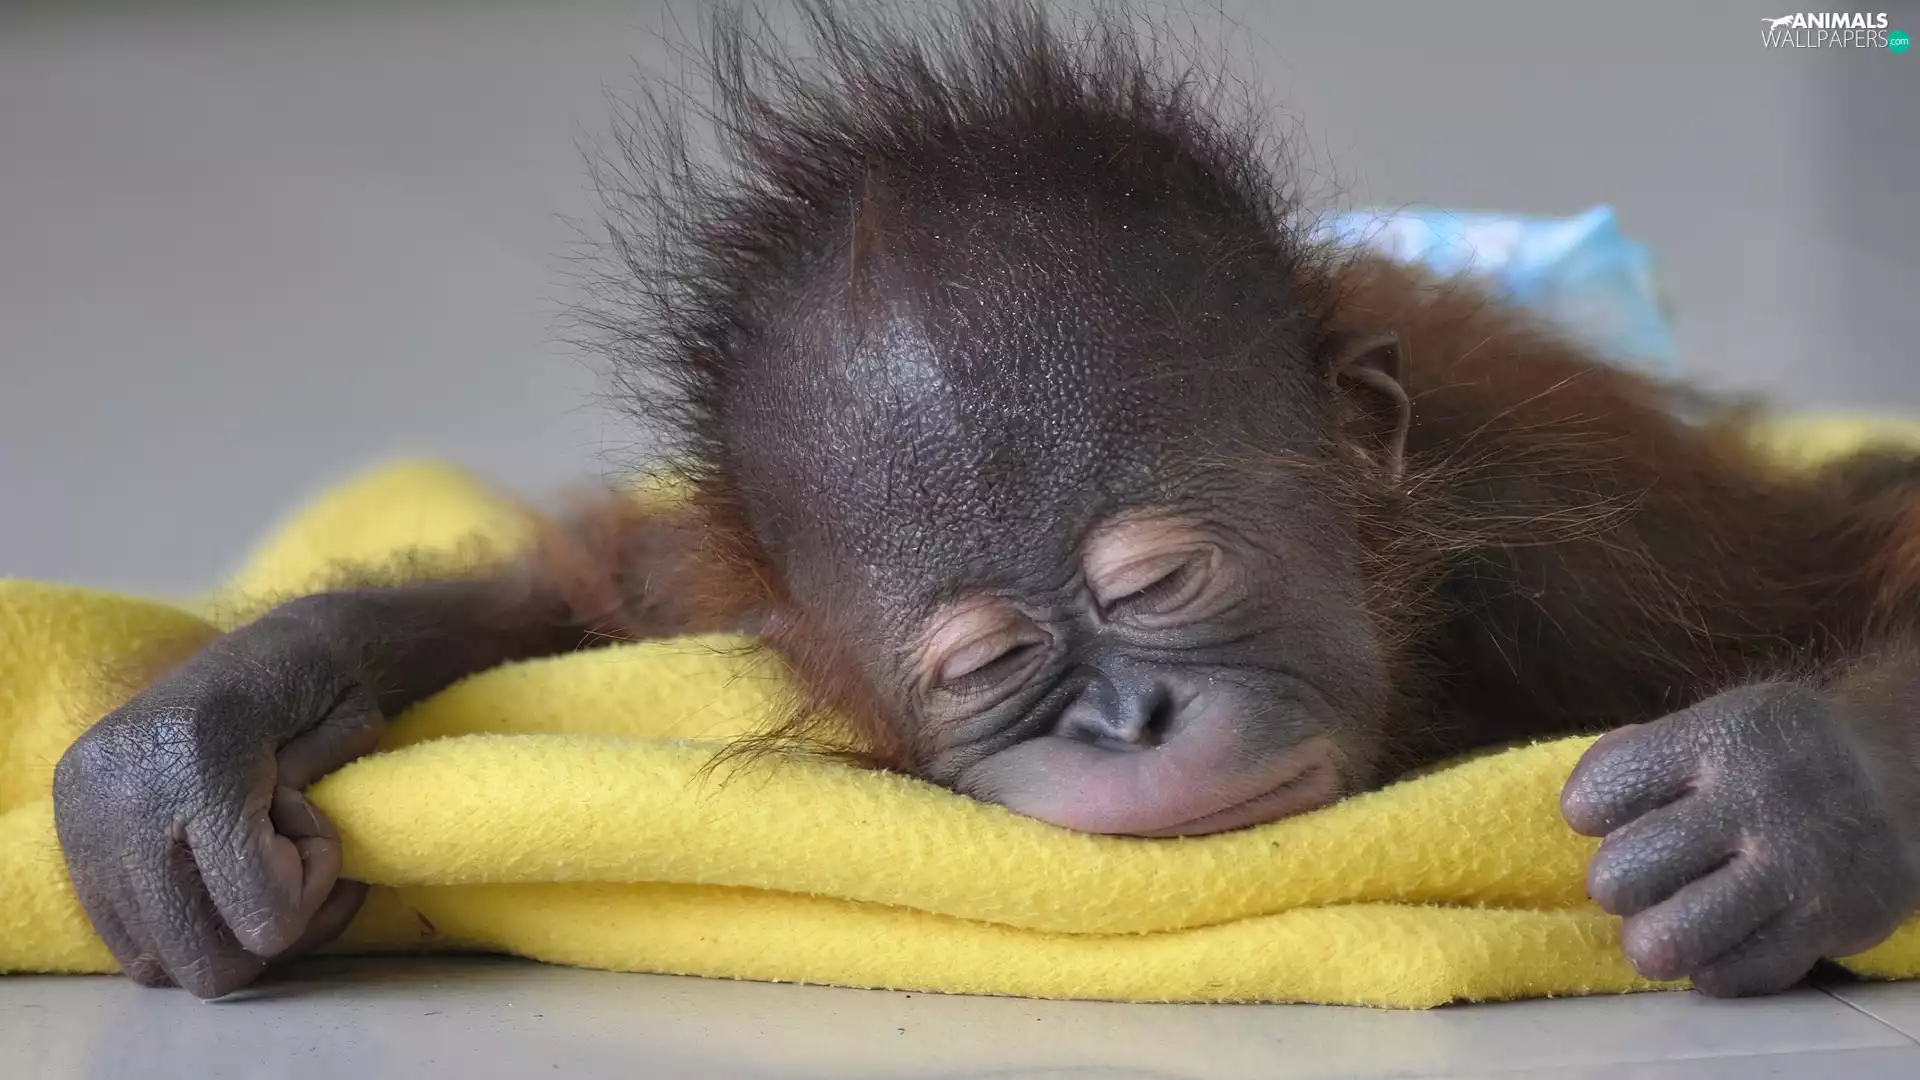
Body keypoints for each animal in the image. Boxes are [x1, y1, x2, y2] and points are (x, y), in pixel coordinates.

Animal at [47, 1, 1920, 1004]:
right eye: (986, 668)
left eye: (1161, 585)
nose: (1127, 716)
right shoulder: (725, 589)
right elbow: (577, 588)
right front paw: (197, 746)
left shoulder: (1585, 537)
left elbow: (1865, 554)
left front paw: (1792, 799)